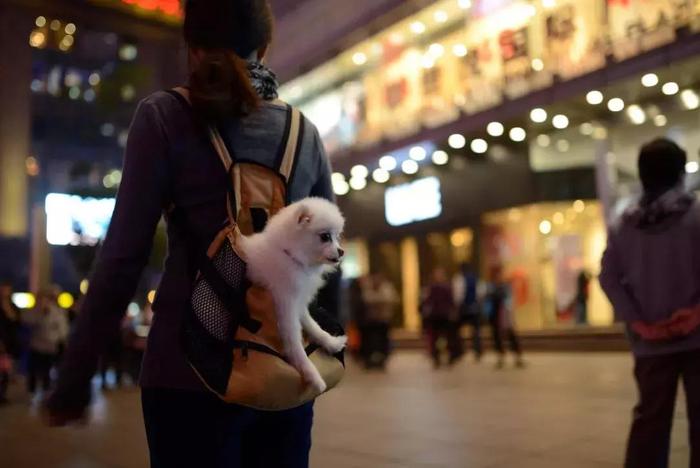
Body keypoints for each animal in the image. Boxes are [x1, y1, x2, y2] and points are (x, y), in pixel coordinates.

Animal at [239, 196, 348, 394]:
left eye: (337, 237)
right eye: (325, 237)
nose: (341, 251)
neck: (291, 256)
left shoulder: (298, 302)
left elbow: (312, 325)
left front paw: (329, 342)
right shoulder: (286, 304)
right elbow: (294, 341)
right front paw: (311, 374)